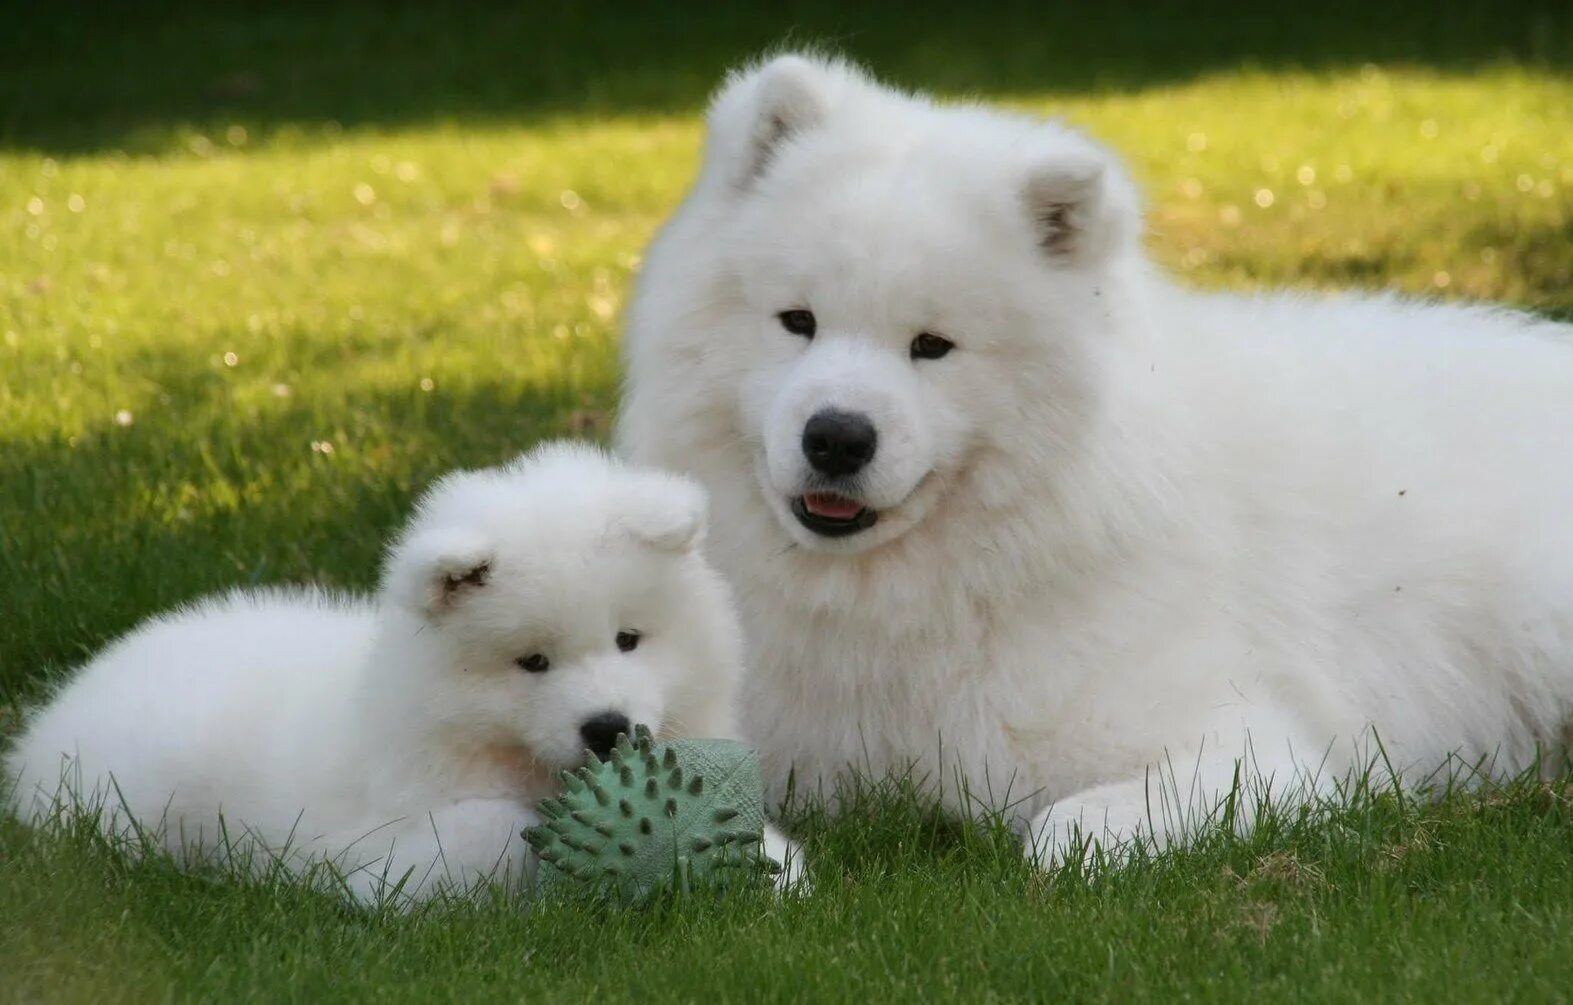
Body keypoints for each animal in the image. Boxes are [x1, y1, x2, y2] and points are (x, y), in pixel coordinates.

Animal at [3, 443, 799, 899]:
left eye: (629, 639)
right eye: (532, 662)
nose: (607, 727)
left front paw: (778, 875)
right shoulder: (382, 837)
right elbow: (492, 832)